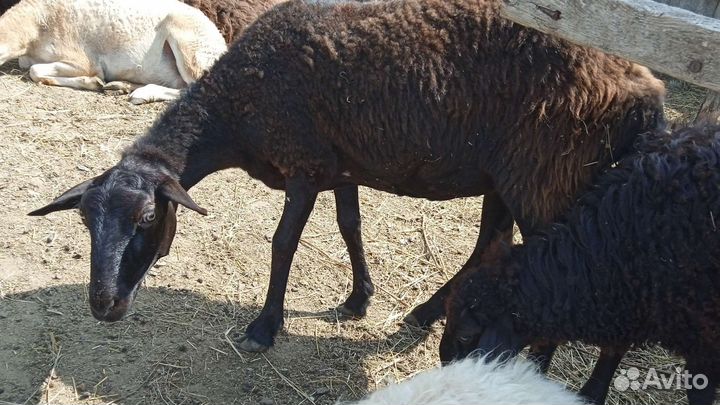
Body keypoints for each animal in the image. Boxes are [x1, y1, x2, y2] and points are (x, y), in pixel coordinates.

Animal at [0, 0, 227, 104]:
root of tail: (222, 44)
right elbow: (32, 68)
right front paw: (99, 83)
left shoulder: (82, 60)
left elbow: (35, 71)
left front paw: (92, 81)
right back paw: (121, 86)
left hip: (191, 47)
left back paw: (142, 94)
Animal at [29, 0, 665, 361]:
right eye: (85, 222)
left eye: (146, 219)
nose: (103, 306)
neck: (236, 109)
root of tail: (645, 91)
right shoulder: (339, 162)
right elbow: (349, 225)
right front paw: (360, 299)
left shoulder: (304, 163)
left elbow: (284, 244)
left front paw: (264, 327)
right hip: (512, 177)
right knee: (491, 244)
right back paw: (425, 313)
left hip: (545, 180)